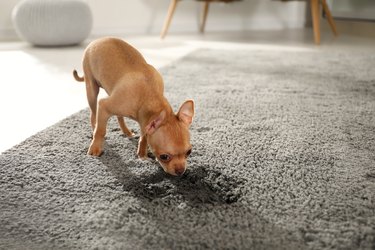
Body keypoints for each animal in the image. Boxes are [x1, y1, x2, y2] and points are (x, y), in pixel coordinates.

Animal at [74, 37, 195, 176]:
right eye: (164, 156)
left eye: (189, 152)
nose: (181, 171)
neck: (150, 95)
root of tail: (98, 39)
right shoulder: (103, 105)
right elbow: (101, 130)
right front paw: (95, 149)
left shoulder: (145, 123)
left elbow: (144, 137)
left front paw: (142, 155)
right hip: (92, 89)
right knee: (93, 115)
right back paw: (94, 131)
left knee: (119, 116)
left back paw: (126, 131)